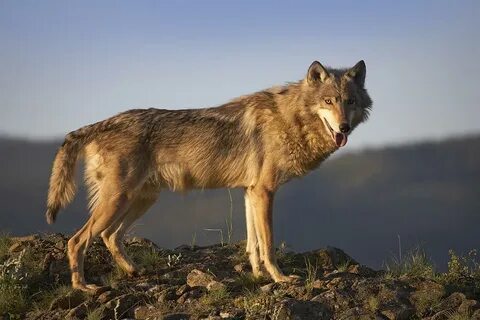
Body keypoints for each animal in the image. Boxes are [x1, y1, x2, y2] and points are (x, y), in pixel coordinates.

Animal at [45, 58, 374, 292]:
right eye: (329, 101)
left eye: (350, 102)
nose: (343, 128)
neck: (290, 118)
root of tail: (97, 124)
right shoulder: (265, 191)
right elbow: (268, 244)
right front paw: (280, 279)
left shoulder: (251, 192)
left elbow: (253, 244)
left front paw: (257, 276)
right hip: (120, 200)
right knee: (77, 240)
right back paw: (83, 287)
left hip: (141, 199)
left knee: (108, 235)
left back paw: (134, 271)